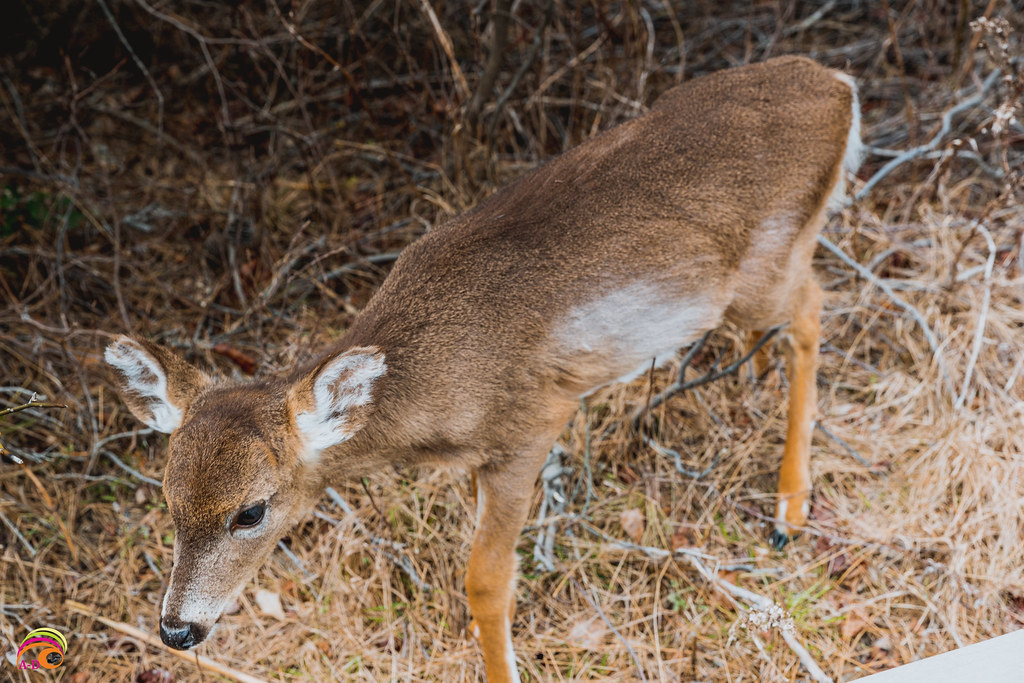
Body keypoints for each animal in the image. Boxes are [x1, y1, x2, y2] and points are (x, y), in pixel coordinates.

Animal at [105, 56, 861, 682]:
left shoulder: (531, 425)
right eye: (167, 496)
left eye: (251, 510)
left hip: (764, 269)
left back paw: (790, 508)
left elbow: (486, 580)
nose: (177, 629)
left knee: (814, 309)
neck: (435, 386)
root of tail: (837, 85)